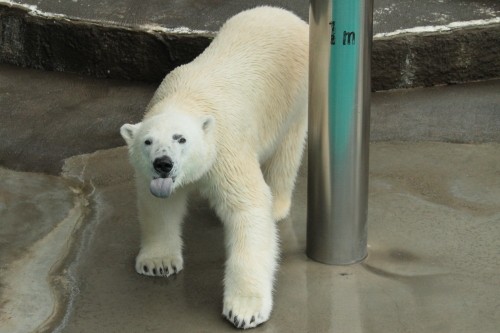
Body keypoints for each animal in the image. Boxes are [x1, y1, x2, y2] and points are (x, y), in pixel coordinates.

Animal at [121, 6, 308, 328]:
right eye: (147, 141)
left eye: (180, 138)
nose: (163, 164)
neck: (186, 97)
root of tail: (286, 14)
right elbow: (159, 206)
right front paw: (158, 263)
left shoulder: (225, 148)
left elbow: (248, 207)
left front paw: (244, 310)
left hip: (292, 96)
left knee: (287, 150)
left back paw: (278, 204)